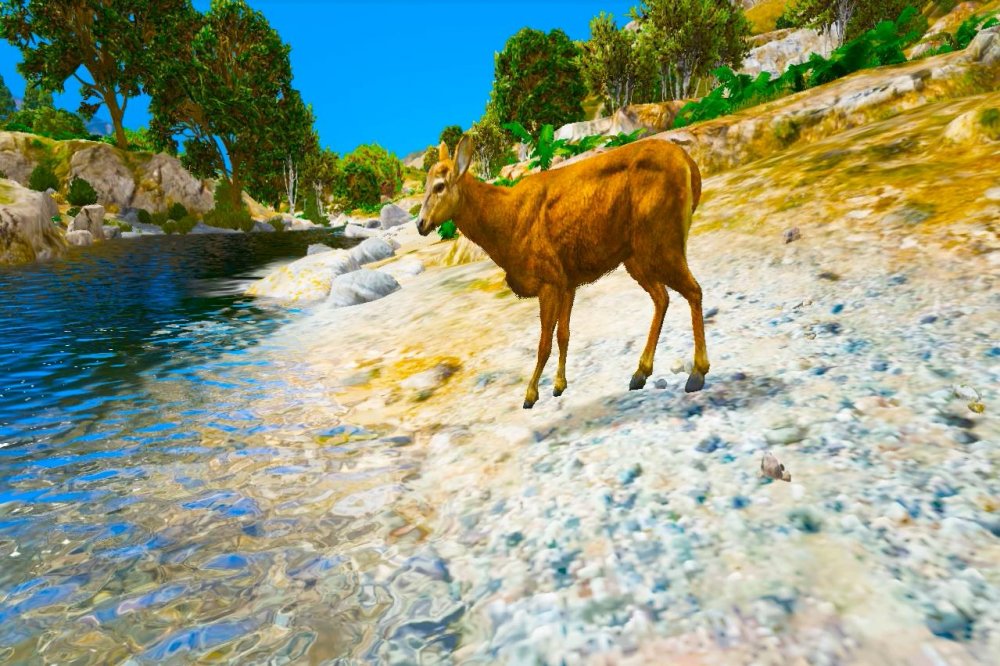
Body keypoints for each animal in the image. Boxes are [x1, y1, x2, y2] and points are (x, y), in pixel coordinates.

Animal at [416, 135, 708, 409]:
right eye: (425, 186)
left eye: (440, 186)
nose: (421, 224)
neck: (505, 225)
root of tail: (690, 165)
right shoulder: (567, 281)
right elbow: (564, 335)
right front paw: (559, 384)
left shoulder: (549, 279)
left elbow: (544, 343)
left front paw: (531, 394)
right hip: (637, 255)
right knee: (663, 297)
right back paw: (640, 373)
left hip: (661, 237)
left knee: (693, 290)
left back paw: (697, 373)